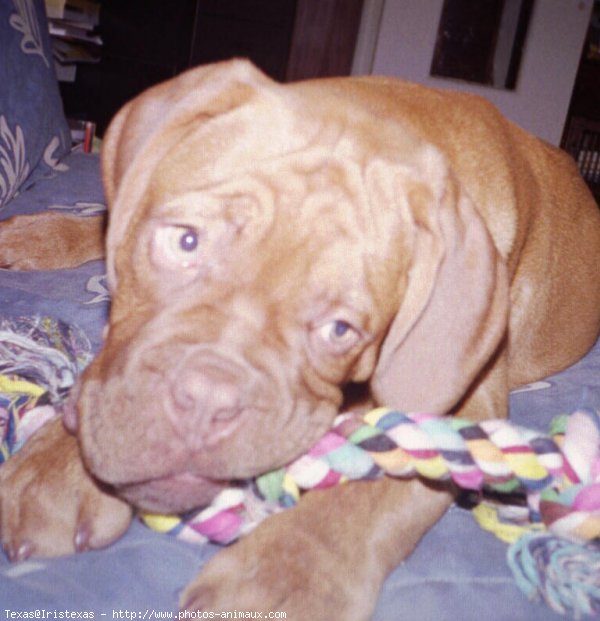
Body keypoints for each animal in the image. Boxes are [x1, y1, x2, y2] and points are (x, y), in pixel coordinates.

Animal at [1, 57, 600, 616]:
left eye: (340, 329)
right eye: (185, 241)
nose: (206, 404)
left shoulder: (463, 402)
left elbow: (386, 480)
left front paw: (287, 569)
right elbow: (110, 367)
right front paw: (55, 468)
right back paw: (33, 234)